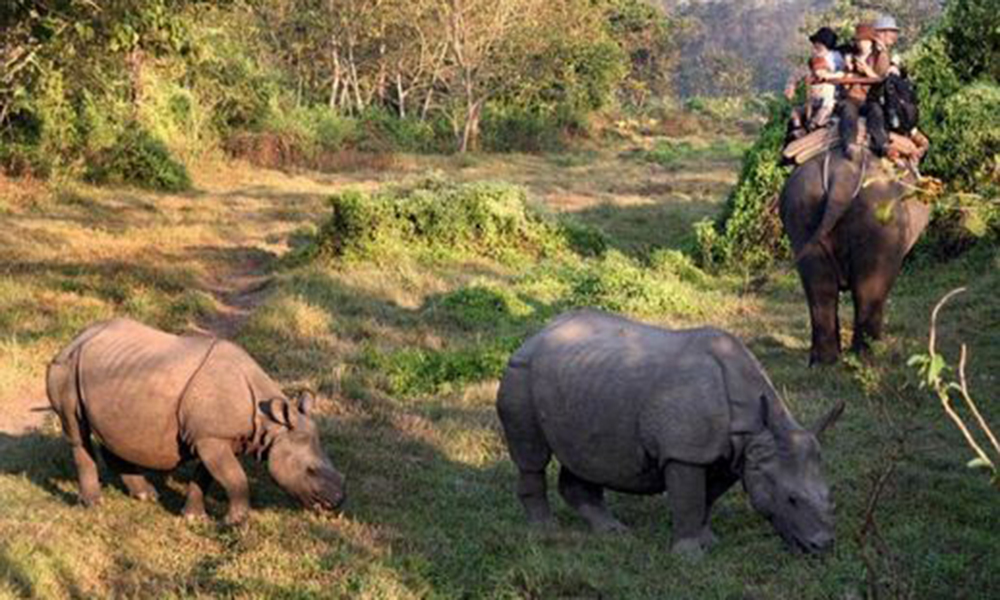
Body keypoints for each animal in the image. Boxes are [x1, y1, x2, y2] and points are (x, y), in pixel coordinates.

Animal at [47, 316, 348, 524]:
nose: (337, 502)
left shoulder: (213, 436)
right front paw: (236, 523)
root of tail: (75, 338)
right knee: (77, 432)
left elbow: (208, 476)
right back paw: (93, 505)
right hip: (65, 367)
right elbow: (236, 478)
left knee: (113, 431)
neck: (269, 424)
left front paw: (193, 518)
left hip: (110, 373)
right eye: (310, 470)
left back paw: (146, 496)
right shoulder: (211, 437)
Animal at [498, 310, 844, 556]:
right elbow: (689, 499)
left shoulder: (731, 455)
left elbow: (707, 498)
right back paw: (546, 532)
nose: (823, 546)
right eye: (791, 499)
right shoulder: (685, 452)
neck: (756, 427)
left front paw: (709, 541)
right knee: (532, 457)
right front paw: (689, 556)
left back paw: (613, 532)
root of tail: (537, 333)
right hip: (520, 371)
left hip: (581, 377)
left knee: (582, 456)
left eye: (830, 497)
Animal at [780, 150, 928, 366]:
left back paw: (823, 362)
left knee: (821, 287)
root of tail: (841, 175)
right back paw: (869, 355)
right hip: (880, 220)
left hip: (801, 211)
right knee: (868, 288)